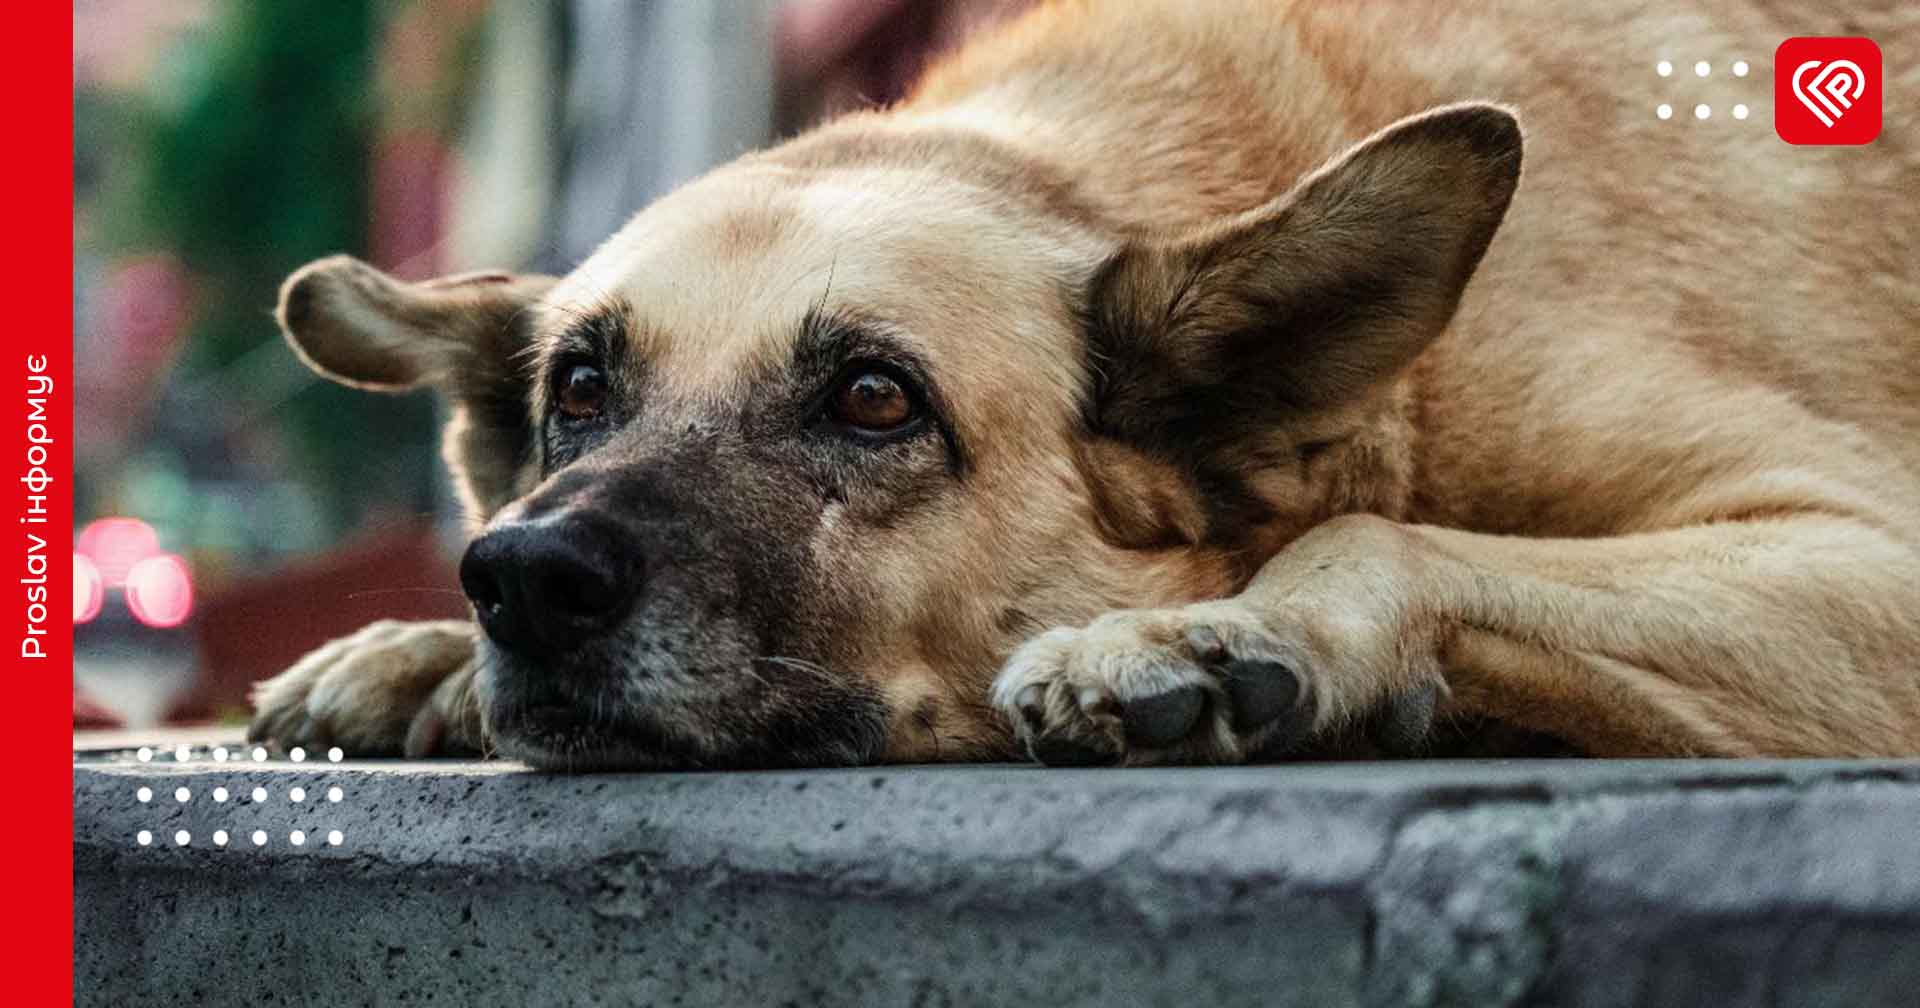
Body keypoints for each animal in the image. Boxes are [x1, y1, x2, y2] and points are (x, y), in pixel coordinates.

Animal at [247, 1, 1912, 771]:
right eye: (580, 391)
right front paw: (420, 655)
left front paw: (1218, 628)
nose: (521, 577)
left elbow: (1380, 533)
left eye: (874, 399)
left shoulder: (1872, 554)